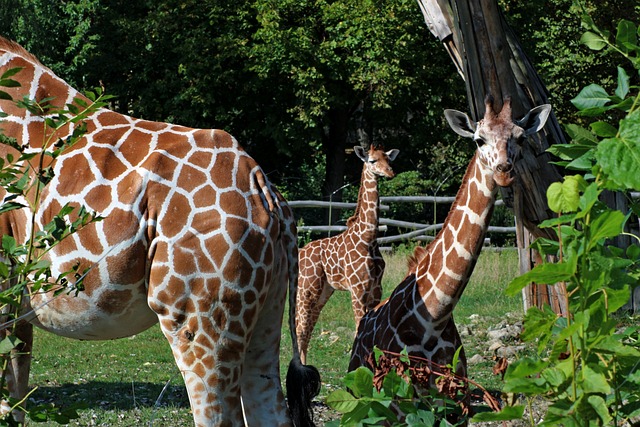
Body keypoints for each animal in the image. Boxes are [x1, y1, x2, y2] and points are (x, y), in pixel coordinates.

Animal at [296, 143, 399, 364]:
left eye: (388, 159)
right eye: (372, 160)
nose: (390, 172)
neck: (368, 238)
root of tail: (300, 253)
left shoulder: (375, 290)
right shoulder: (357, 290)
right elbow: (358, 329)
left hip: (324, 290)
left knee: (308, 327)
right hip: (306, 288)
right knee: (300, 326)